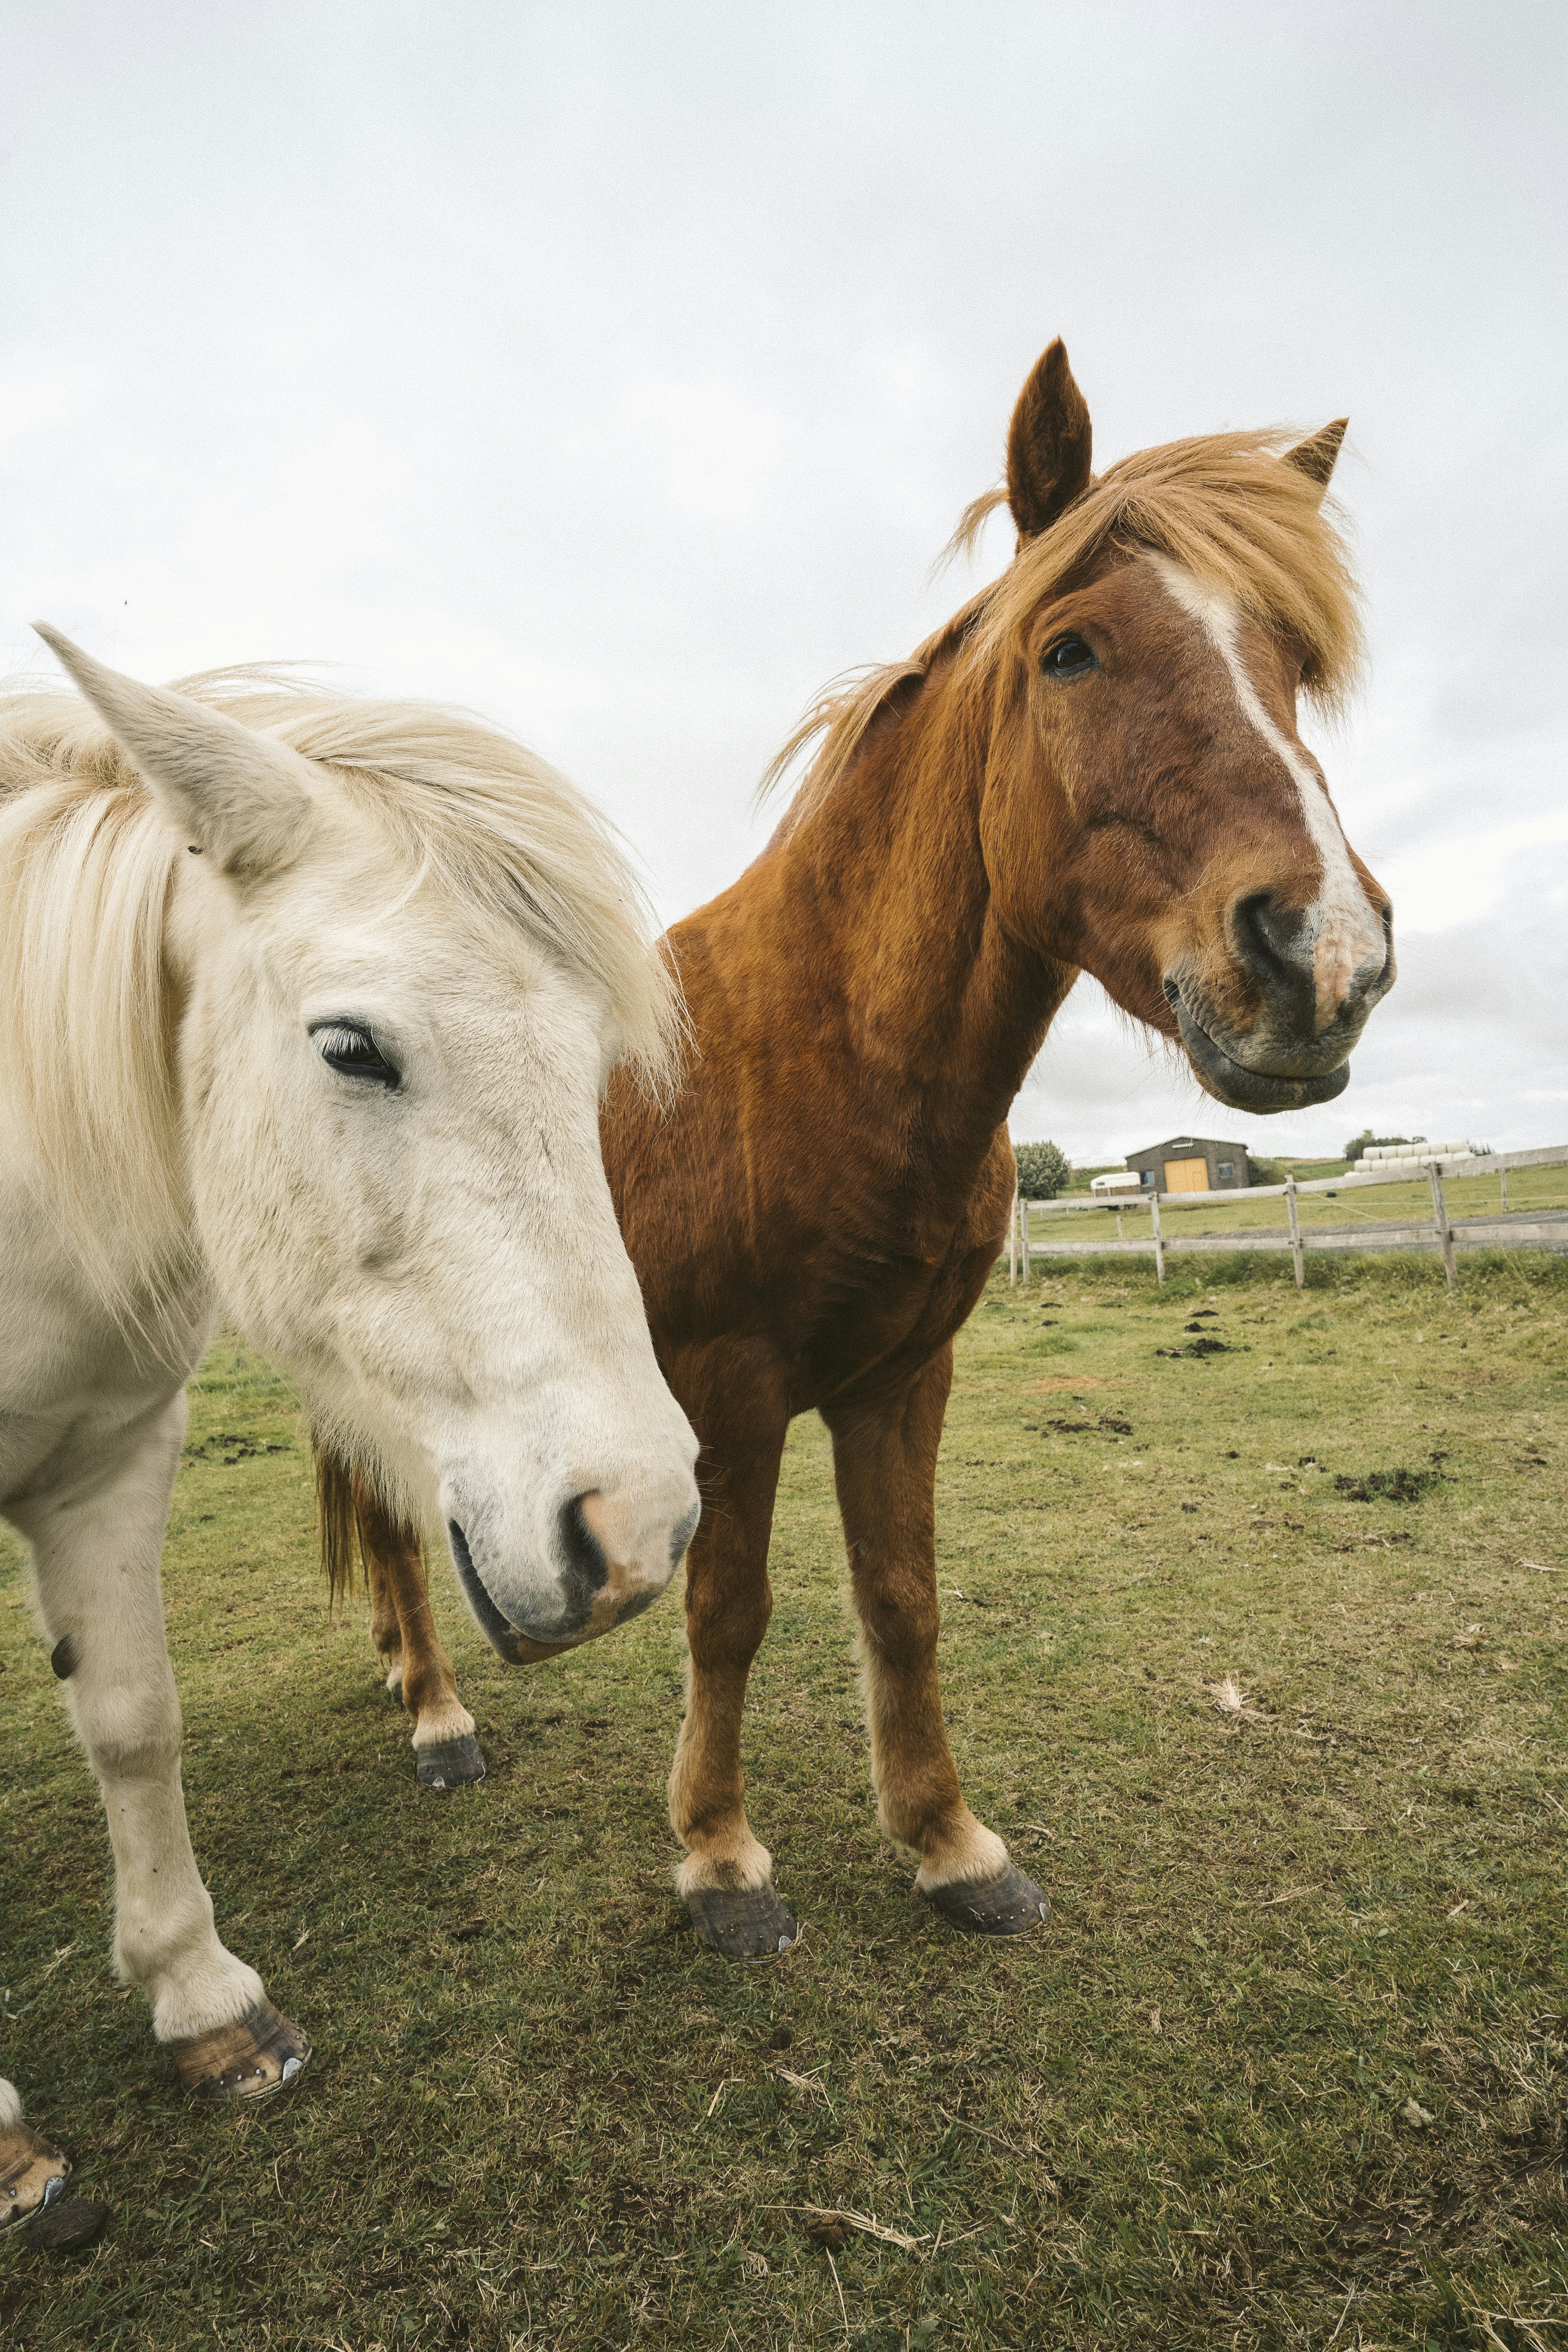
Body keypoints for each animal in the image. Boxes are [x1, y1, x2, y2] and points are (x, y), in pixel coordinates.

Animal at [321, 337, 1394, 1962]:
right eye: (1069, 652)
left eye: (1289, 661)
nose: (1321, 956)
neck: (824, 1047)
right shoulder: (730, 1391)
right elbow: (730, 1611)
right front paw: (719, 1858)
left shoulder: (901, 1374)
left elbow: (900, 1597)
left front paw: (948, 1841)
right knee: (387, 1519)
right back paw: (440, 1713)